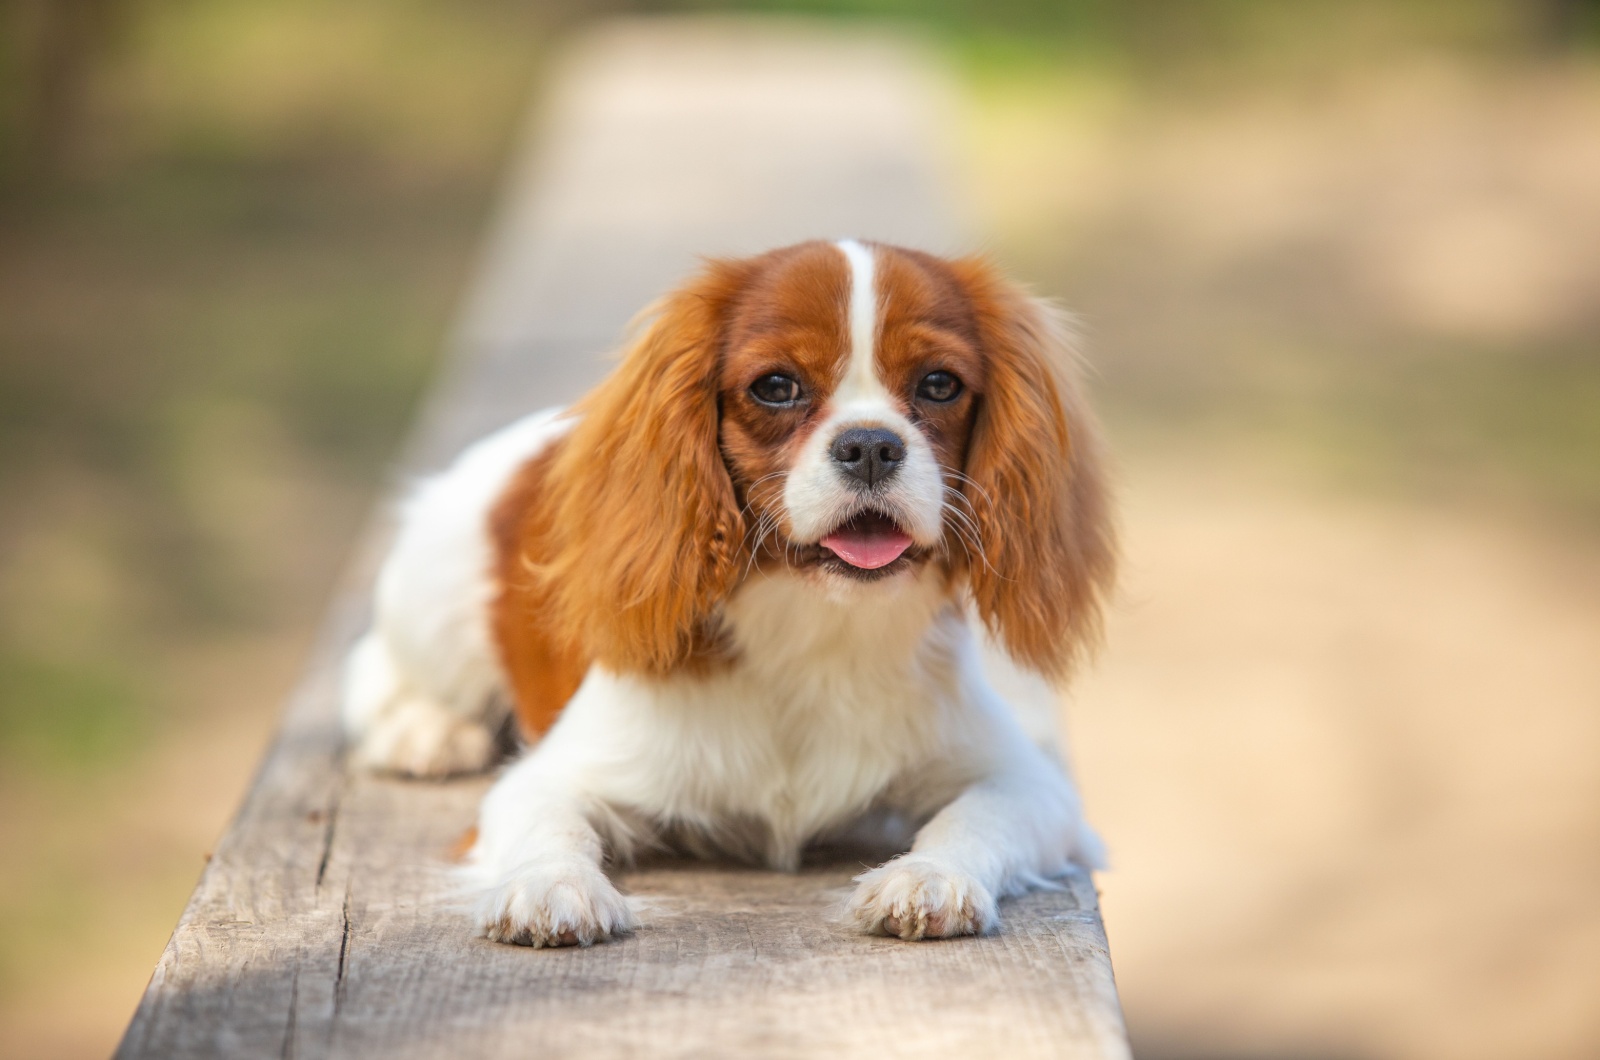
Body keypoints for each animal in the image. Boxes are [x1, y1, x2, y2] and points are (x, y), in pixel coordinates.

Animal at [340, 238, 1113, 947]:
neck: (816, 622)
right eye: (776, 386)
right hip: (433, 604)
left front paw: (929, 876)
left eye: (940, 385)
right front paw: (551, 887)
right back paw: (428, 731)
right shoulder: (550, 775)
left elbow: (976, 816)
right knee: (376, 672)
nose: (870, 444)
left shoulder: (1028, 783)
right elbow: (547, 823)